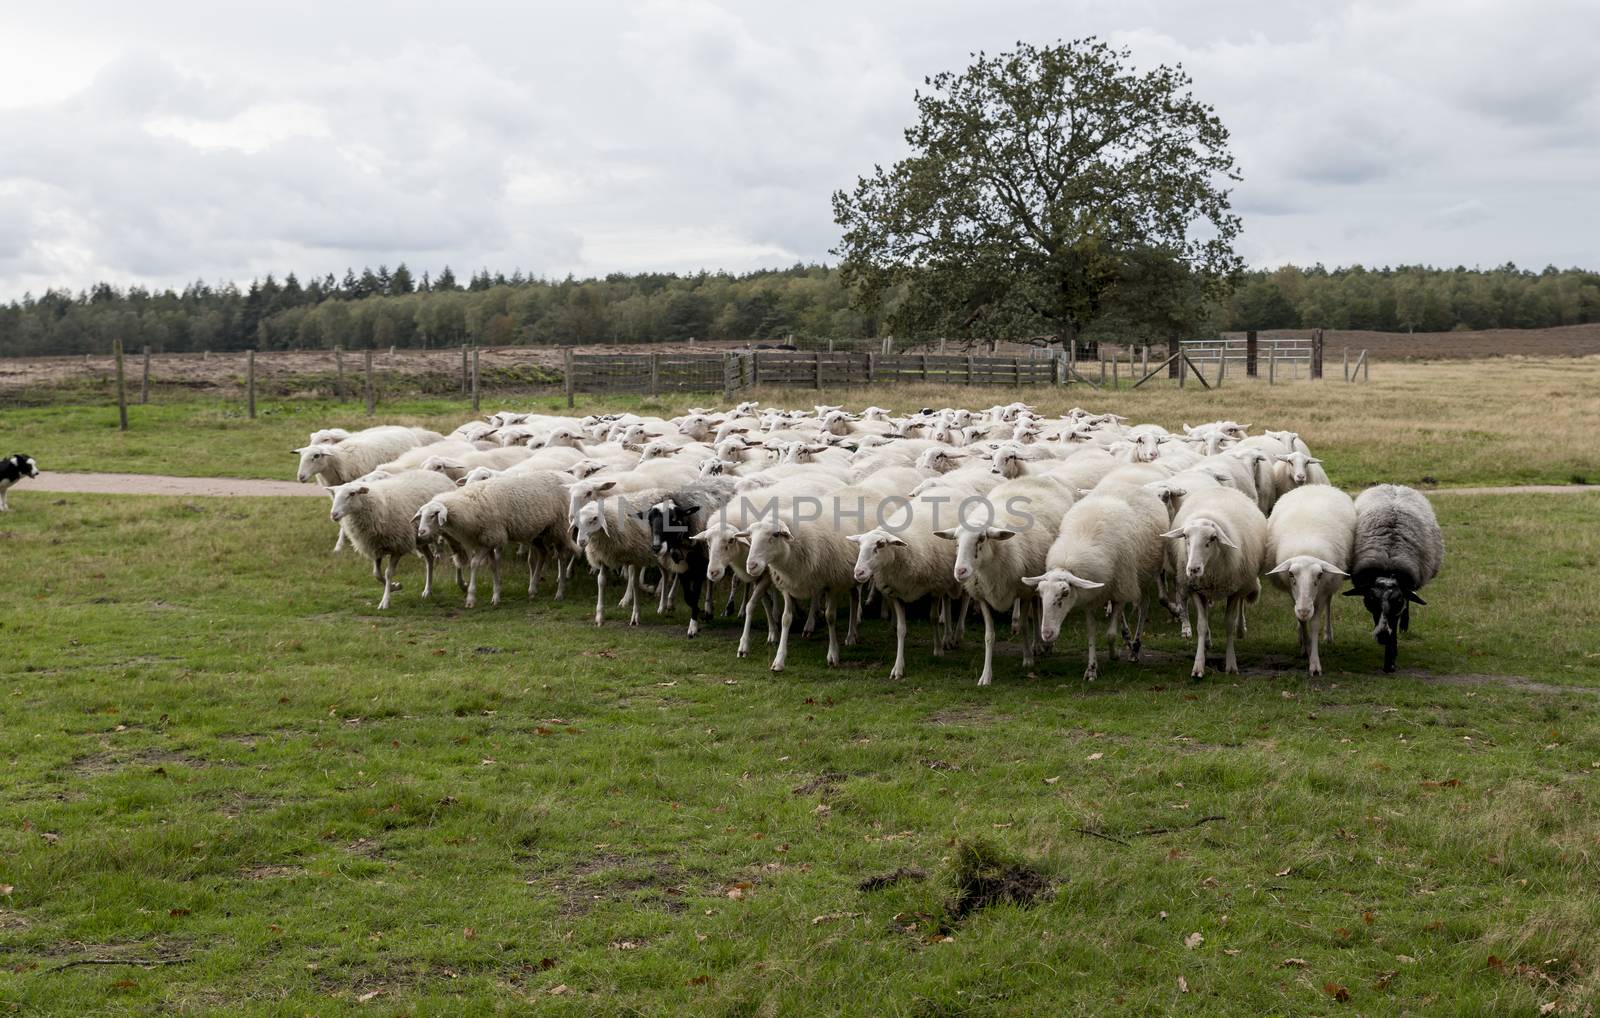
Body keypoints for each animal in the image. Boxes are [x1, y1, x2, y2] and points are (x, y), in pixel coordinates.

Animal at [416, 470, 579, 605]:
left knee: (562, 557)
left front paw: (471, 598)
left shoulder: (491, 537)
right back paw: (533, 589)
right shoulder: (488, 540)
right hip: (538, 533)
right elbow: (493, 566)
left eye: (434, 515)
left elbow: (474, 563)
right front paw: (496, 596)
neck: (469, 506)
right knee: (543, 552)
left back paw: (560, 592)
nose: (421, 532)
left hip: (559, 528)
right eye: (421, 515)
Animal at [1024, 483, 1164, 678]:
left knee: (1144, 606)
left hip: (1143, 576)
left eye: (1065, 593)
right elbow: (1091, 634)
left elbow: (1110, 635)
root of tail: (1130, 484)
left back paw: (1135, 648)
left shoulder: (1122, 589)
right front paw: (1091, 669)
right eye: (1040, 593)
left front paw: (1114, 654)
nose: (1047, 634)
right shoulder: (1090, 597)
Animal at [1158, 486, 1267, 675]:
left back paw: (1241, 628)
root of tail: (1222, 487)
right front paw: (1198, 665)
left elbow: (1228, 623)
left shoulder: (1234, 590)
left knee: (1242, 603)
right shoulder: (1196, 588)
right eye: (1185, 537)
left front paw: (1231, 664)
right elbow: (1201, 625)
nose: (1193, 569)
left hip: (1245, 579)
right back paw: (1208, 640)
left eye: (1212, 538)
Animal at [1267, 486, 1356, 675]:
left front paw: (1314, 663)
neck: (1306, 548)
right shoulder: (1294, 594)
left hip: (1330, 585)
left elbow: (1314, 624)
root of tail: (1313, 485)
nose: (1304, 610)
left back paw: (1328, 635)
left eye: (1319, 575)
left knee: (1329, 602)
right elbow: (1302, 622)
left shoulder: (1322, 592)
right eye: (1291, 574)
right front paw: (1305, 647)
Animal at [1344, 483, 1446, 672]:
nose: (1382, 636)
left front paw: (1390, 660)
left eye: (1397, 601)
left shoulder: (1398, 605)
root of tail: (1394, 485)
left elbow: (1397, 620)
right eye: (1371, 600)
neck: (1388, 565)